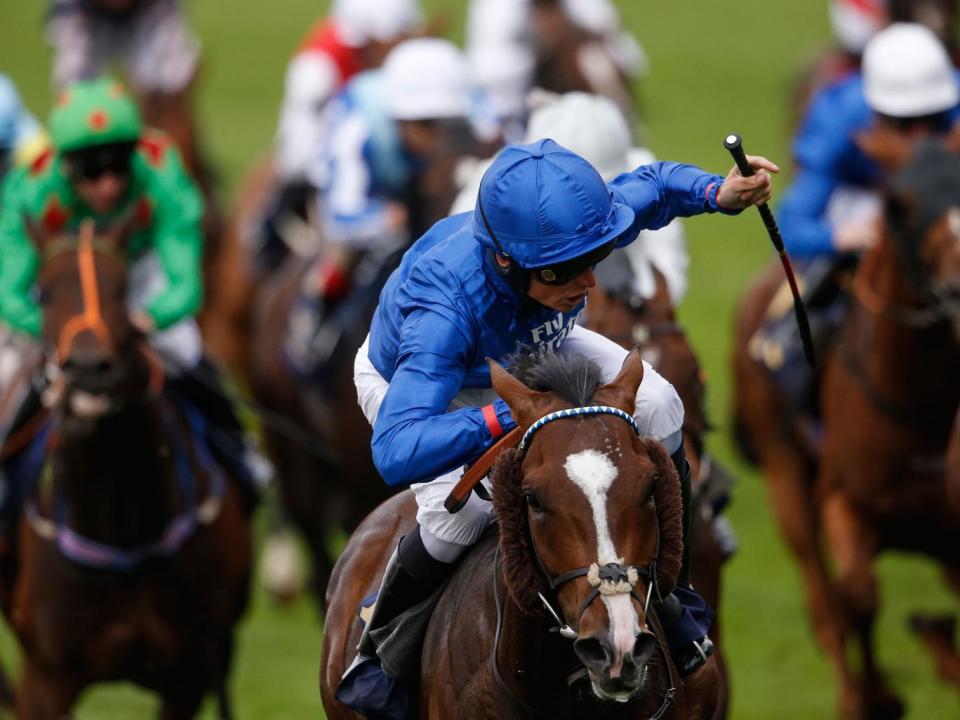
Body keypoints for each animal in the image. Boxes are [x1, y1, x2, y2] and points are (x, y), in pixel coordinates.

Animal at [3, 212, 253, 716]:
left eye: (121, 289)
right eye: (42, 291)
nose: (86, 368)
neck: (121, 528)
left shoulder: (186, 676)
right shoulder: (46, 677)